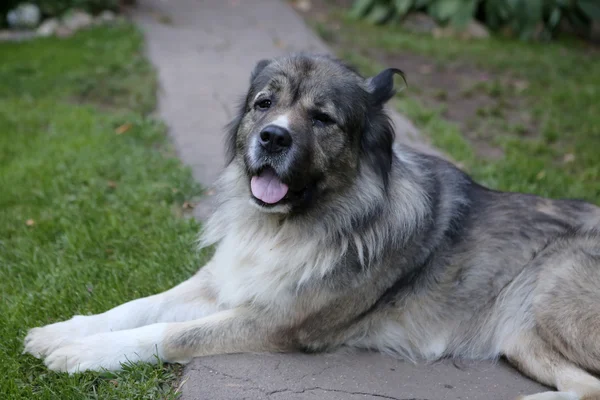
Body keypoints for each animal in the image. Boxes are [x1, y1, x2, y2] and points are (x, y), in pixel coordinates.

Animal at [23, 54, 600, 400]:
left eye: (322, 118)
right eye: (264, 104)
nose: (273, 138)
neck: (286, 227)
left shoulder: (275, 323)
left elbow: (170, 333)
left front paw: (84, 353)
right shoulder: (219, 283)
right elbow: (139, 306)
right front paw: (63, 331)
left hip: (549, 293)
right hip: (524, 337)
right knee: (585, 387)